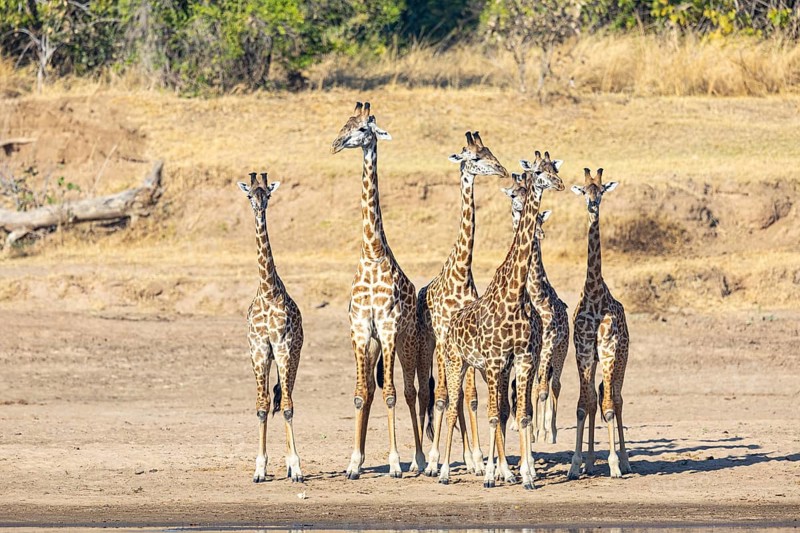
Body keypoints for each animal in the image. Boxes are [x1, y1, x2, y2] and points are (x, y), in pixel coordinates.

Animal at [331, 102, 426, 479]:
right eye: (344, 124)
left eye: (362, 129)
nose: (336, 144)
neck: (371, 253)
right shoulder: (360, 332)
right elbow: (361, 394)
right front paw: (353, 463)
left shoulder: (387, 330)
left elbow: (392, 394)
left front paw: (396, 462)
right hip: (374, 346)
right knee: (373, 389)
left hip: (407, 342)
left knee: (411, 391)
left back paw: (419, 459)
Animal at [418, 131, 510, 478]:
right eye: (476, 157)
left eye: (491, 151)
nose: (503, 170)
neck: (460, 272)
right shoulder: (446, 339)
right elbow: (445, 398)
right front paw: (435, 461)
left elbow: (469, 398)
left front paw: (478, 459)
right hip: (436, 347)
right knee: (441, 395)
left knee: (458, 398)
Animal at [437, 155, 565, 489]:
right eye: (539, 171)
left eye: (555, 170)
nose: (559, 184)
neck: (517, 293)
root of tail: (452, 323)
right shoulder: (496, 362)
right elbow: (495, 415)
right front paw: (492, 475)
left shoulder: (521, 358)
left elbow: (519, 413)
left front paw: (525, 475)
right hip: (457, 362)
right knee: (454, 407)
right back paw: (443, 471)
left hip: (484, 367)